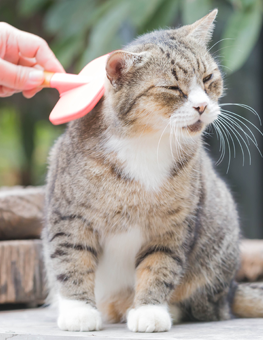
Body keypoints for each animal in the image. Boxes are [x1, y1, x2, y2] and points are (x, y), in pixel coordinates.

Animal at [42, 9, 262, 334]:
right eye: (172, 88)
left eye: (208, 78)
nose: (202, 106)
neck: (147, 142)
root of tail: (231, 290)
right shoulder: (70, 216)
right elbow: (71, 259)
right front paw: (79, 310)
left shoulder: (172, 225)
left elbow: (160, 265)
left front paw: (149, 310)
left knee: (205, 307)